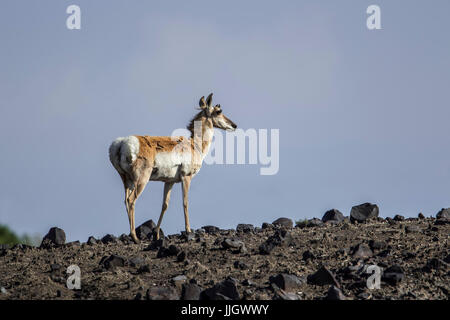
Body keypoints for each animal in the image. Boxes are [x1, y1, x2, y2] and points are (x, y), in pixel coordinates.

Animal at [109, 94, 237, 244]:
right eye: (218, 111)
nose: (234, 125)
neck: (194, 145)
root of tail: (122, 143)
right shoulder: (186, 177)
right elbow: (185, 202)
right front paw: (188, 230)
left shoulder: (169, 181)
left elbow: (165, 205)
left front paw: (157, 234)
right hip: (141, 180)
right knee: (131, 200)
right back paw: (134, 236)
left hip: (126, 180)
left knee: (125, 200)